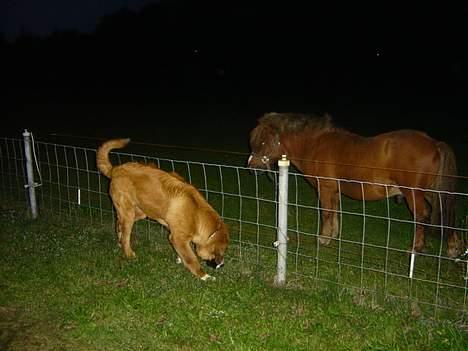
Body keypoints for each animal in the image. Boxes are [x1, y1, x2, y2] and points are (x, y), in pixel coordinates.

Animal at [96, 139, 229, 282]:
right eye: (220, 252)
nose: (222, 265)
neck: (196, 213)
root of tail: (116, 169)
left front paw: (179, 258)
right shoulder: (178, 238)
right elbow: (192, 259)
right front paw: (204, 276)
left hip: (140, 212)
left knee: (118, 223)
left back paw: (120, 241)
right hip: (129, 214)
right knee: (126, 236)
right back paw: (129, 254)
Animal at [249, 113, 460, 258]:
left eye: (263, 142)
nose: (251, 166)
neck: (315, 145)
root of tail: (435, 143)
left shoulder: (325, 188)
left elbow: (326, 212)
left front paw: (323, 238)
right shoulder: (334, 189)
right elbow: (334, 212)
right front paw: (333, 235)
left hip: (414, 194)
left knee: (421, 216)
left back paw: (415, 248)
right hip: (431, 191)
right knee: (445, 210)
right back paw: (453, 247)